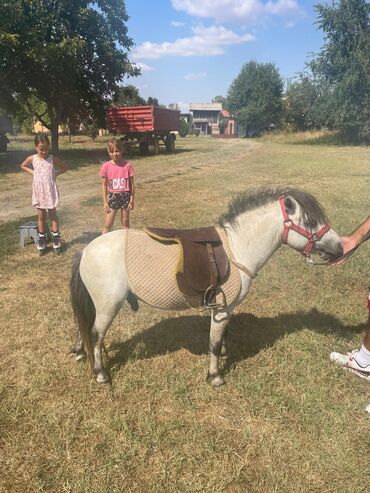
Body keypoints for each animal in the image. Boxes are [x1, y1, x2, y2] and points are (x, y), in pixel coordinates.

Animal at [71, 187, 342, 384]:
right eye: (310, 221)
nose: (339, 247)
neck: (237, 247)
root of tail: (86, 251)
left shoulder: (226, 311)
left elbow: (221, 339)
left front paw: (222, 357)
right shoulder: (221, 309)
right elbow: (214, 342)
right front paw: (215, 377)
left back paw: (79, 352)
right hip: (108, 306)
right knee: (96, 334)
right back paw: (100, 374)